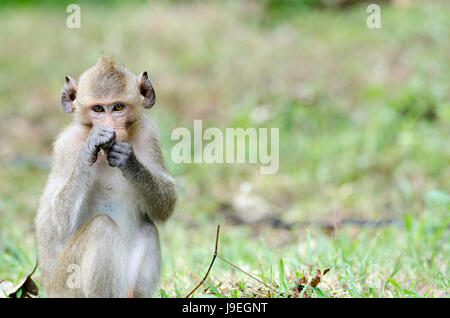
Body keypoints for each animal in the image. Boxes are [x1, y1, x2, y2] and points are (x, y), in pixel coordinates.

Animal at [34, 55, 176, 298]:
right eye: (98, 109)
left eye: (118, 107)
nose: (110, 127)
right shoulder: (67, 147)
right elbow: (55, 222)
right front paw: (89, 150)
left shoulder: (148, 136)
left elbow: (166, 204)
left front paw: (130, 162)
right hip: (65, 283)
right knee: (101, 228)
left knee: (147, 227)